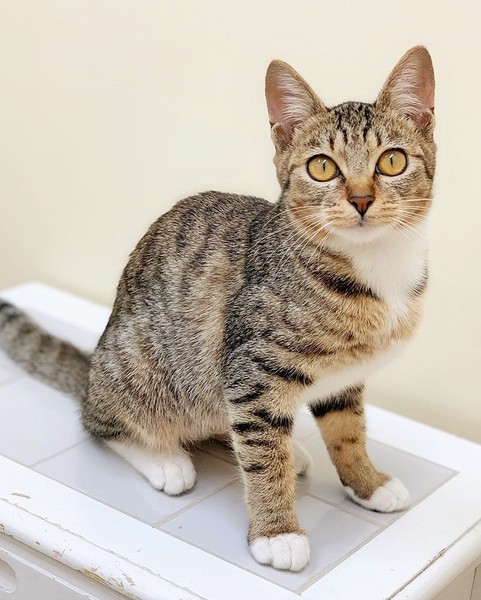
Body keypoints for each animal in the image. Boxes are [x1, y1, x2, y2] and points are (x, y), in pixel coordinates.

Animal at [0, 46, 435, 572]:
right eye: (322, 168)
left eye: (392, 161)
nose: (362, 199)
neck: (373, 267)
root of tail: (91, 373)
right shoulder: (252, 367)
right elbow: (263, 458)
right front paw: (277, 532)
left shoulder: (342, 376)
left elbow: (346, 430)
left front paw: (367, 483)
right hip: (143, 366)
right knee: (105, 423)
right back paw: (164, 458)